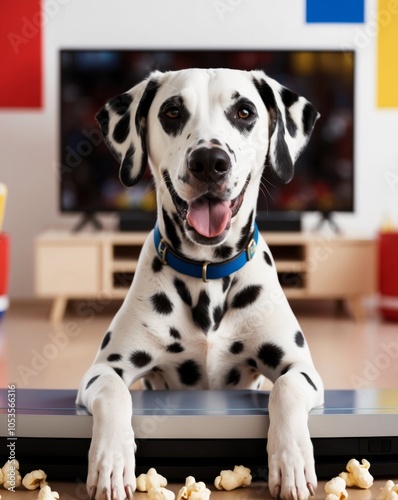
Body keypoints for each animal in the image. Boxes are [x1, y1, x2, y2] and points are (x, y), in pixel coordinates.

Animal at [77, 69, 324, 500]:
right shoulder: (104, 369)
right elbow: (114, 393)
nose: (209, 161)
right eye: (172, 112)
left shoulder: (301, 368)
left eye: (245, 112)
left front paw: (291, 460)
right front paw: (111, 461)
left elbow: (286, 389)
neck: (208, 274)